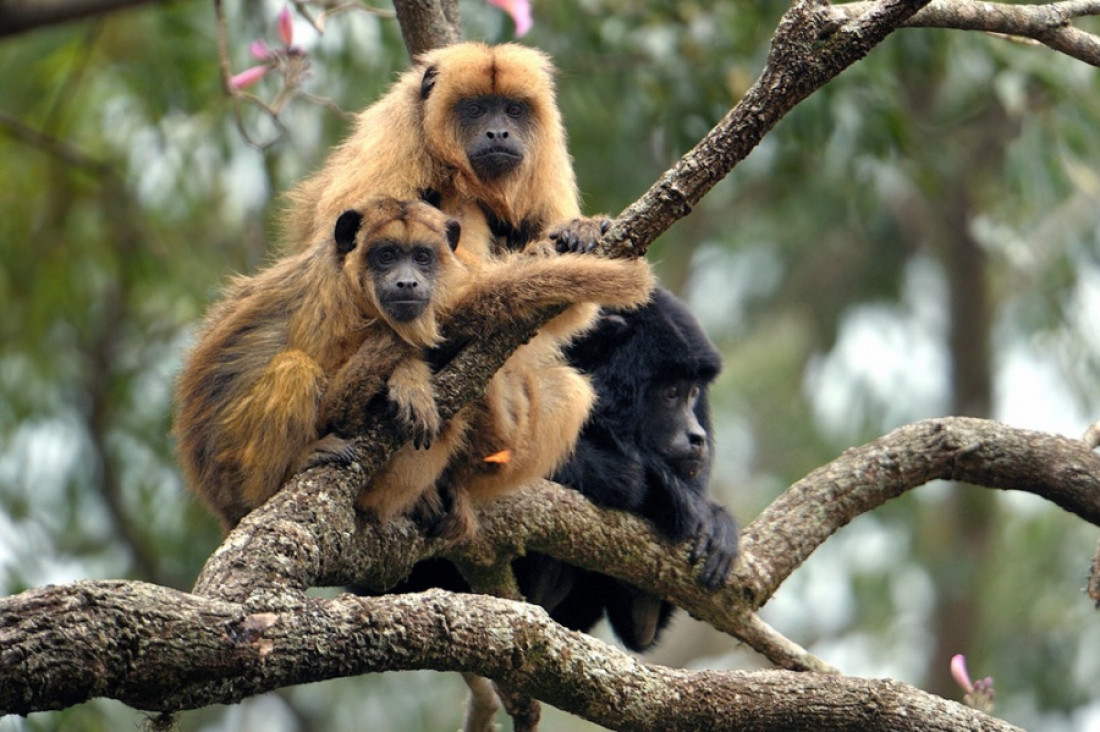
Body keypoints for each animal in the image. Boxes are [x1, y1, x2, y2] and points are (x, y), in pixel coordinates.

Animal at [175, 198, 653, 533]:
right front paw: (408, 377)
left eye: (422, 257)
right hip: (236, 477)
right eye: (386, 255)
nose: (407, 282)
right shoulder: (329, 300)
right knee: (294, 367)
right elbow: (334, 403)